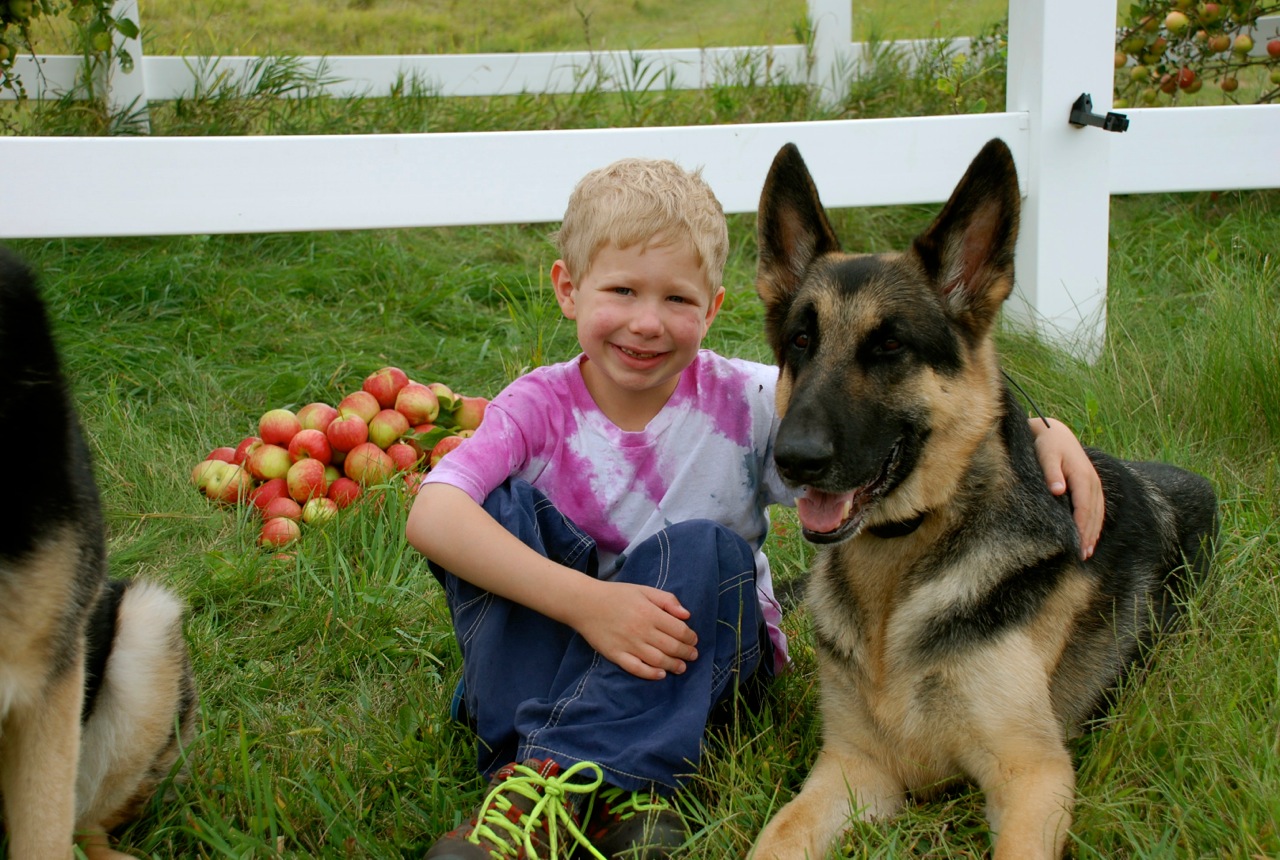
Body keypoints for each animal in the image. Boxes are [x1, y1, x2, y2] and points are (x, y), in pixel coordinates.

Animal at [747, 140, 1218, 860]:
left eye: (889, 345)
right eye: (801, 341)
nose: (793, 460)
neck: (902, 567)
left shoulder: (1032, 773)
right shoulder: (854, 769)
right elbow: (772, 840)